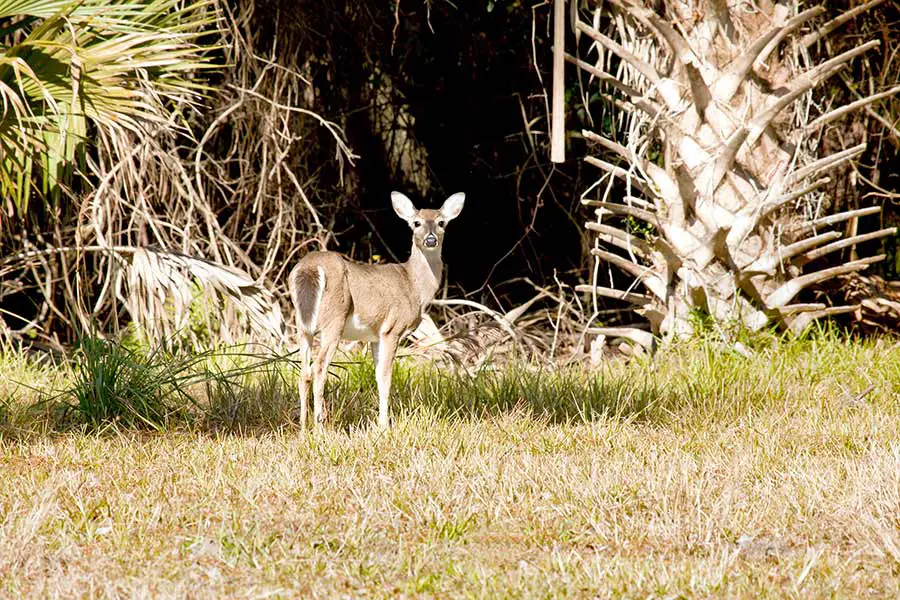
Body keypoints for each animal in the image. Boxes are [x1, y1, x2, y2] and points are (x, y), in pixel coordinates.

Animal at [290, 190, 464, 428]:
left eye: (441, 222)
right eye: (416, 223)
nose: (430, 239)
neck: (414, 285)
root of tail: (309, 268)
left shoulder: (374, 334)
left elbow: (377, 376)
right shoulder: (393, 328)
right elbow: (385, 377)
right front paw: (384, 426)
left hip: (302, 323)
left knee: (303, 371)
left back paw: (303, 427)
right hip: (334, 318)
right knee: (318, 367)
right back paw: (320, 427)